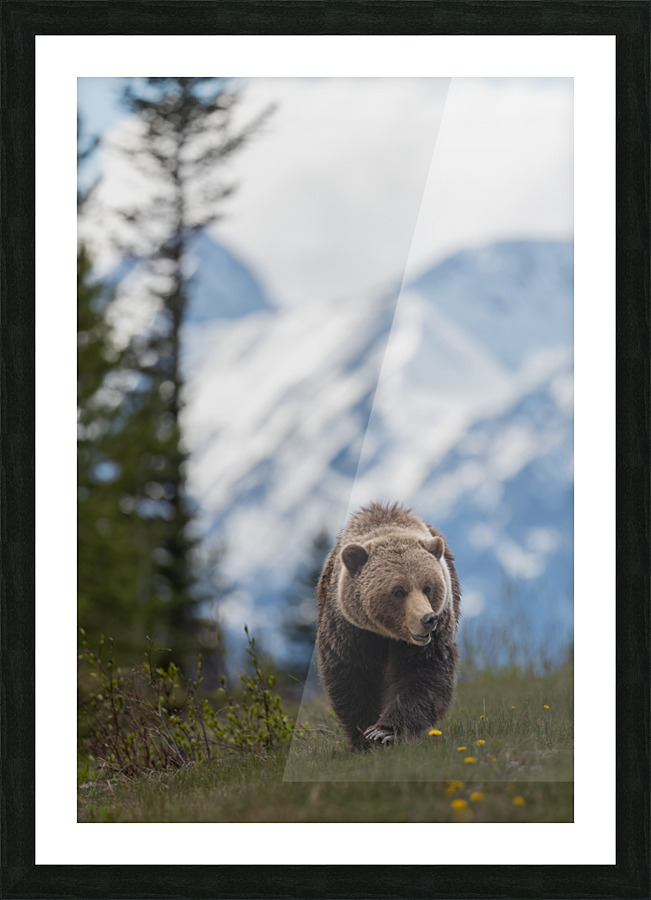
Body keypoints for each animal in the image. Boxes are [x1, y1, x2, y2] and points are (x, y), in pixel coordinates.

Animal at [316, 502, 461, 750]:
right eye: (398, 591)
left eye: (428, 587)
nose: (428, 619)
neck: (386, 634)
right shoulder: (349, 629)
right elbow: (353, 676)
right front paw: (365, 735)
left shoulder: (436, 631)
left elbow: (423, 671)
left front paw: (385, 732)